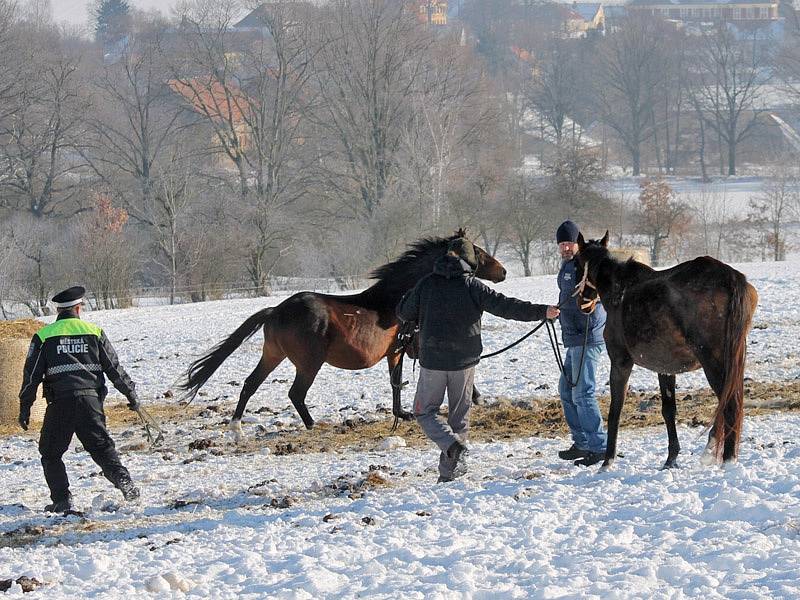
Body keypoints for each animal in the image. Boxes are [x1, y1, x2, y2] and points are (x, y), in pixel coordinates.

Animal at [181, 230, 506, 440]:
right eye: (478, 251)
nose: (502, 272)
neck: (396, 299)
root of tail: (276, 310)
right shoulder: (410, 348)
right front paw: (476, 398)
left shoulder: (397, 352)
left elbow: (395, 383)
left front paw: (401, 414)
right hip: (308, 363)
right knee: (295, 393)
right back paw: (313, 425)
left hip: (273, 354)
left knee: (250, 384)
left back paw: (236, 429)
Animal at [576, 232, 756, 472]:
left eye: (576, 264)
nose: (582, 302)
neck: (621, 289)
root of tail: (731, 278)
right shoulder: (665, 368)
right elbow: (668, 410)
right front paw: (671, 459)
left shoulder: (620, 362)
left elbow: (616, 410)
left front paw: (607, 462)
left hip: (713, 363)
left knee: (730, 405)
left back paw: (727, 460)